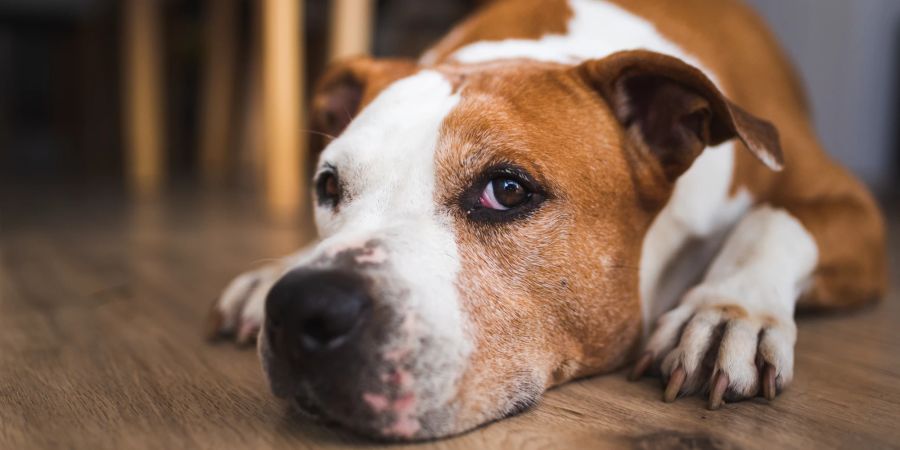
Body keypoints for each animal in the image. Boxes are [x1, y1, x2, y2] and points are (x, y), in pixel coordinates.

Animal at [204, 0, 884, 442]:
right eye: (328, 185)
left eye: (507, 190)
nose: (301, 307)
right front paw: (275, 271)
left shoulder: (852, 205)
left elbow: (774, 220)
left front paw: (726, 312)